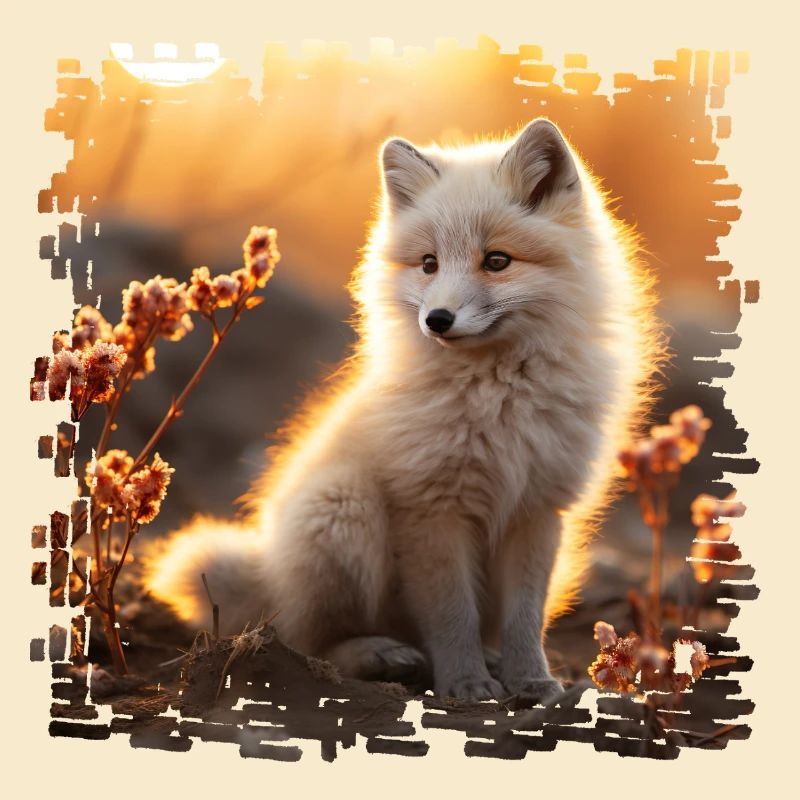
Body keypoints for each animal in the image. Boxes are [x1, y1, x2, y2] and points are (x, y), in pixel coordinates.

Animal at [145, 118, 661, 702]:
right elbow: (452, 616)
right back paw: (377, 657)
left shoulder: (536, 510)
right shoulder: (431, 509)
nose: (437, 319)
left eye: (497, 261)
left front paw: (531, 681)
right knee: (303, 638)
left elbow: (525, 620)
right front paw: (465, 685)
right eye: (429, 264)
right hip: (343, 509)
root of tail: (268, 572)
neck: (498, 400)